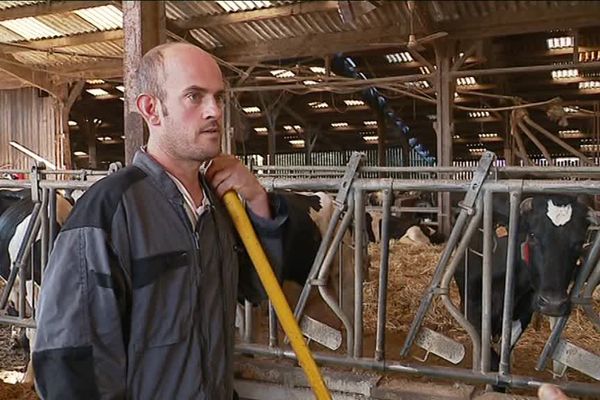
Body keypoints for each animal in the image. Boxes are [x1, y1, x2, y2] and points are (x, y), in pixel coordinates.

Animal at [454, 195, 596, 376]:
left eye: (579, 242)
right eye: (533, 235)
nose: (553, 304)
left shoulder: (525, 311)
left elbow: (504, 351)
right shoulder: (470, 304)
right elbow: (489, 355)